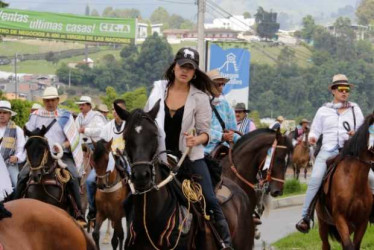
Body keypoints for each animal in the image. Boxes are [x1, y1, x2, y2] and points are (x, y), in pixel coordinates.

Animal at [316, 113, 374, 250]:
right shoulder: (340, 218)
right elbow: (349, 245)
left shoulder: (362, 221)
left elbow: (354, 245)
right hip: (323, 223)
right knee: (325, 244)